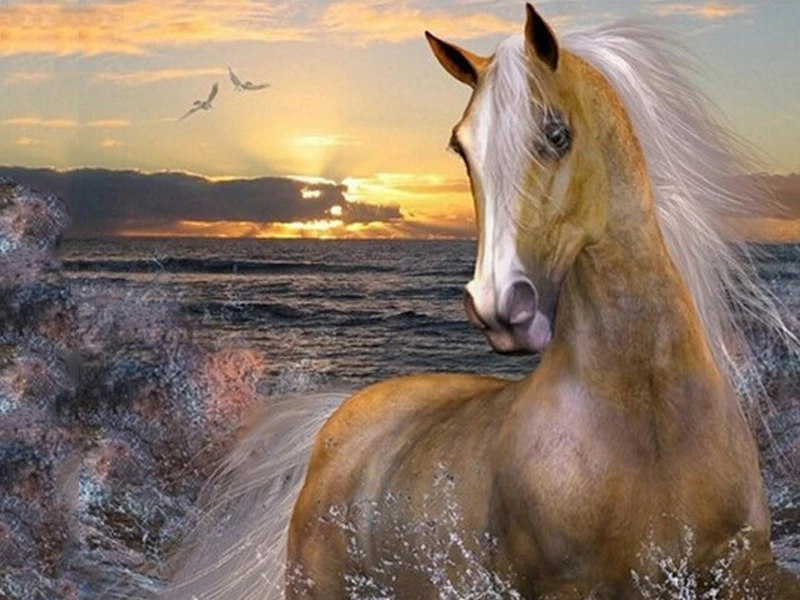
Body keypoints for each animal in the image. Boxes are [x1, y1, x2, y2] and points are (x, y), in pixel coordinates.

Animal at [156, 4, 800, 599]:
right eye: (459, 148)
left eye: (557, 134)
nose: (499, 305)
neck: (646, 416)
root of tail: (331, 427)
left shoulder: (742, 565)